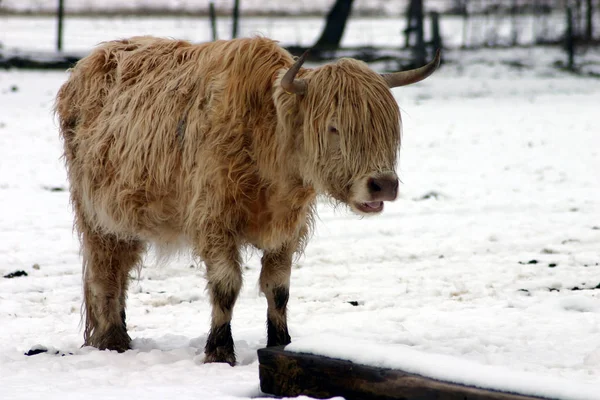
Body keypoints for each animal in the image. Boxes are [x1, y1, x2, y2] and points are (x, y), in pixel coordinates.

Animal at [55, 36, 440, 364]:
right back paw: (113, 340)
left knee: (119, 269)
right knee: (105, 273)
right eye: (334, 127)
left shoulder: (287, 229)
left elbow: (278, 289)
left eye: (388, 128)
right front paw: (219, 350)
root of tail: (88, 63)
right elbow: (226, 287)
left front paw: (280, 343)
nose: (383, 184)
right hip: (96, 216)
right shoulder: (214, 221)